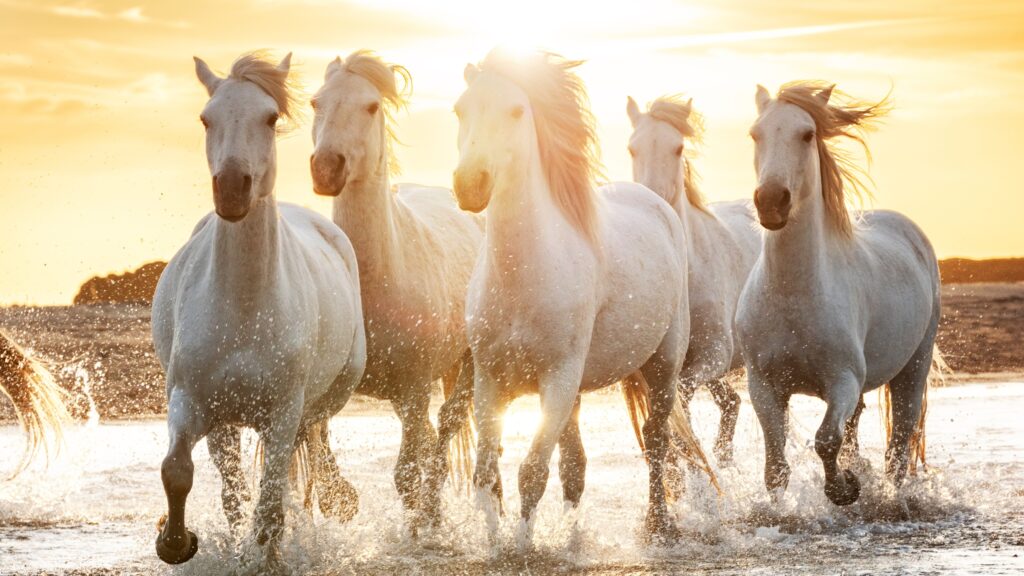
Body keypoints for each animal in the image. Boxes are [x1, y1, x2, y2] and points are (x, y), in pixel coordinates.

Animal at [151, 52, 366, 572]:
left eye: (269, 118)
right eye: (205, 119)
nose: (232, 189)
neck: (246, 308)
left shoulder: (283, 413)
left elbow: (270, 505)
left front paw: (266, 557)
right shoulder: (192, 403)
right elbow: (182, 473)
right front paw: (176, 542)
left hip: (325, 396)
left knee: (311, 450)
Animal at [309, 51, 482, 530]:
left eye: (370, 106)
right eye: (315, 102)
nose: (326, 168)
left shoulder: (415, 386)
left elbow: (406, 473)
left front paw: (418, 527)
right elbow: (316, 443)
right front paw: (339, 498)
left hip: (463, 367)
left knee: (445, 427)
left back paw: (433, 511)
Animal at [453, 49, 700, 543]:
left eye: (516, 110)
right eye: (459, 110)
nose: (470, 184)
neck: (524, 275)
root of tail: (656, 203)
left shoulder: (559, 379)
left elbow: (531, 471)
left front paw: (523, 545)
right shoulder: (490, 381)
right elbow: (487, 473)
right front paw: (494, 540)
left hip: (663, 366)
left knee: (656, 439)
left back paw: (658, 523)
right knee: (576, 464)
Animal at [626, 95, 760, 464]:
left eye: (678, 147)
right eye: (632, 148)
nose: (654, 202)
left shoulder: (714, 353)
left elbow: (682, 399)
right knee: (732, 403)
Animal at [736, 81, 940, 507]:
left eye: (806, 134)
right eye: (754, 134)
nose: (771, 201)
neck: (793, 294)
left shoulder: (842, 381)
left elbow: (826, 440)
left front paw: (845, 488)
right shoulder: (763, 385)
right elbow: (776, 465)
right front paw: (783, 511)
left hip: (914, 366)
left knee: (899, 446)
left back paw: (890, 496)